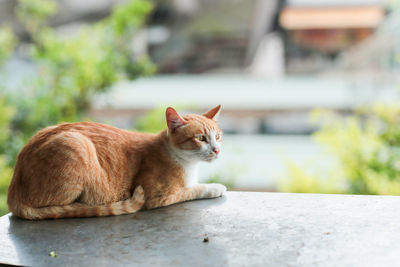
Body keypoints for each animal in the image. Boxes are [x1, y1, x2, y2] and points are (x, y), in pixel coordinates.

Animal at [7, 105, 225, 220]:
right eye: (201, 138)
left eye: (218, 137)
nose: (217, 150)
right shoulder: (158, 195)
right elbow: (194, 189)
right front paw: (215, 187)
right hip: (76, 143)